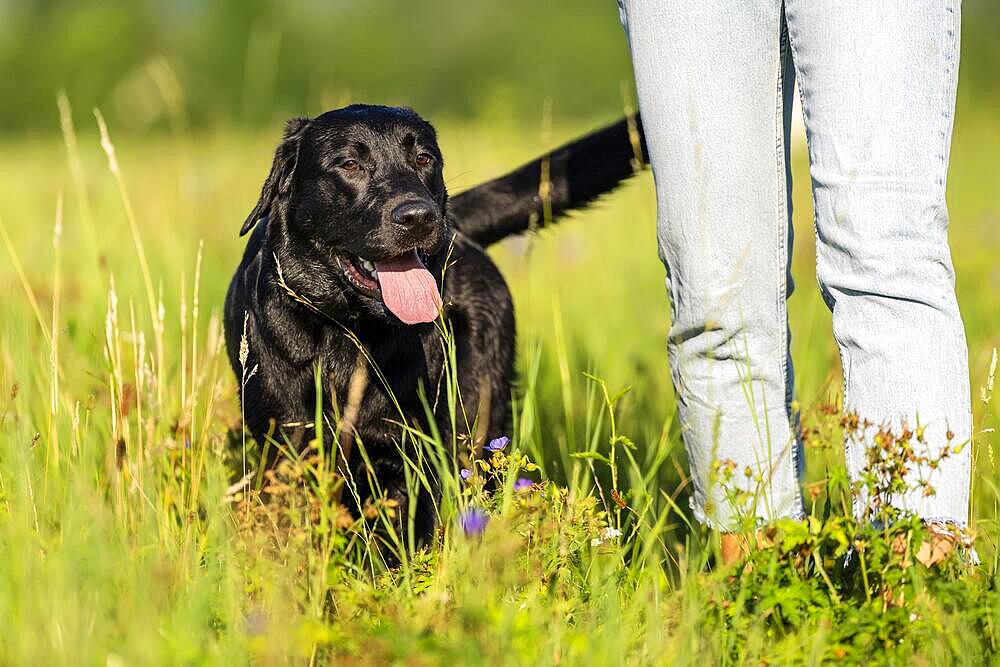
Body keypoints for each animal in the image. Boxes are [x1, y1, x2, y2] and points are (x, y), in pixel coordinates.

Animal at [225, 103, 648, 544]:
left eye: (424, 159)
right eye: (350, 164)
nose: (418, 216)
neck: (350, 332)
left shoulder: (405, 455)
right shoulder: (287, 451)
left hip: (479, 418)